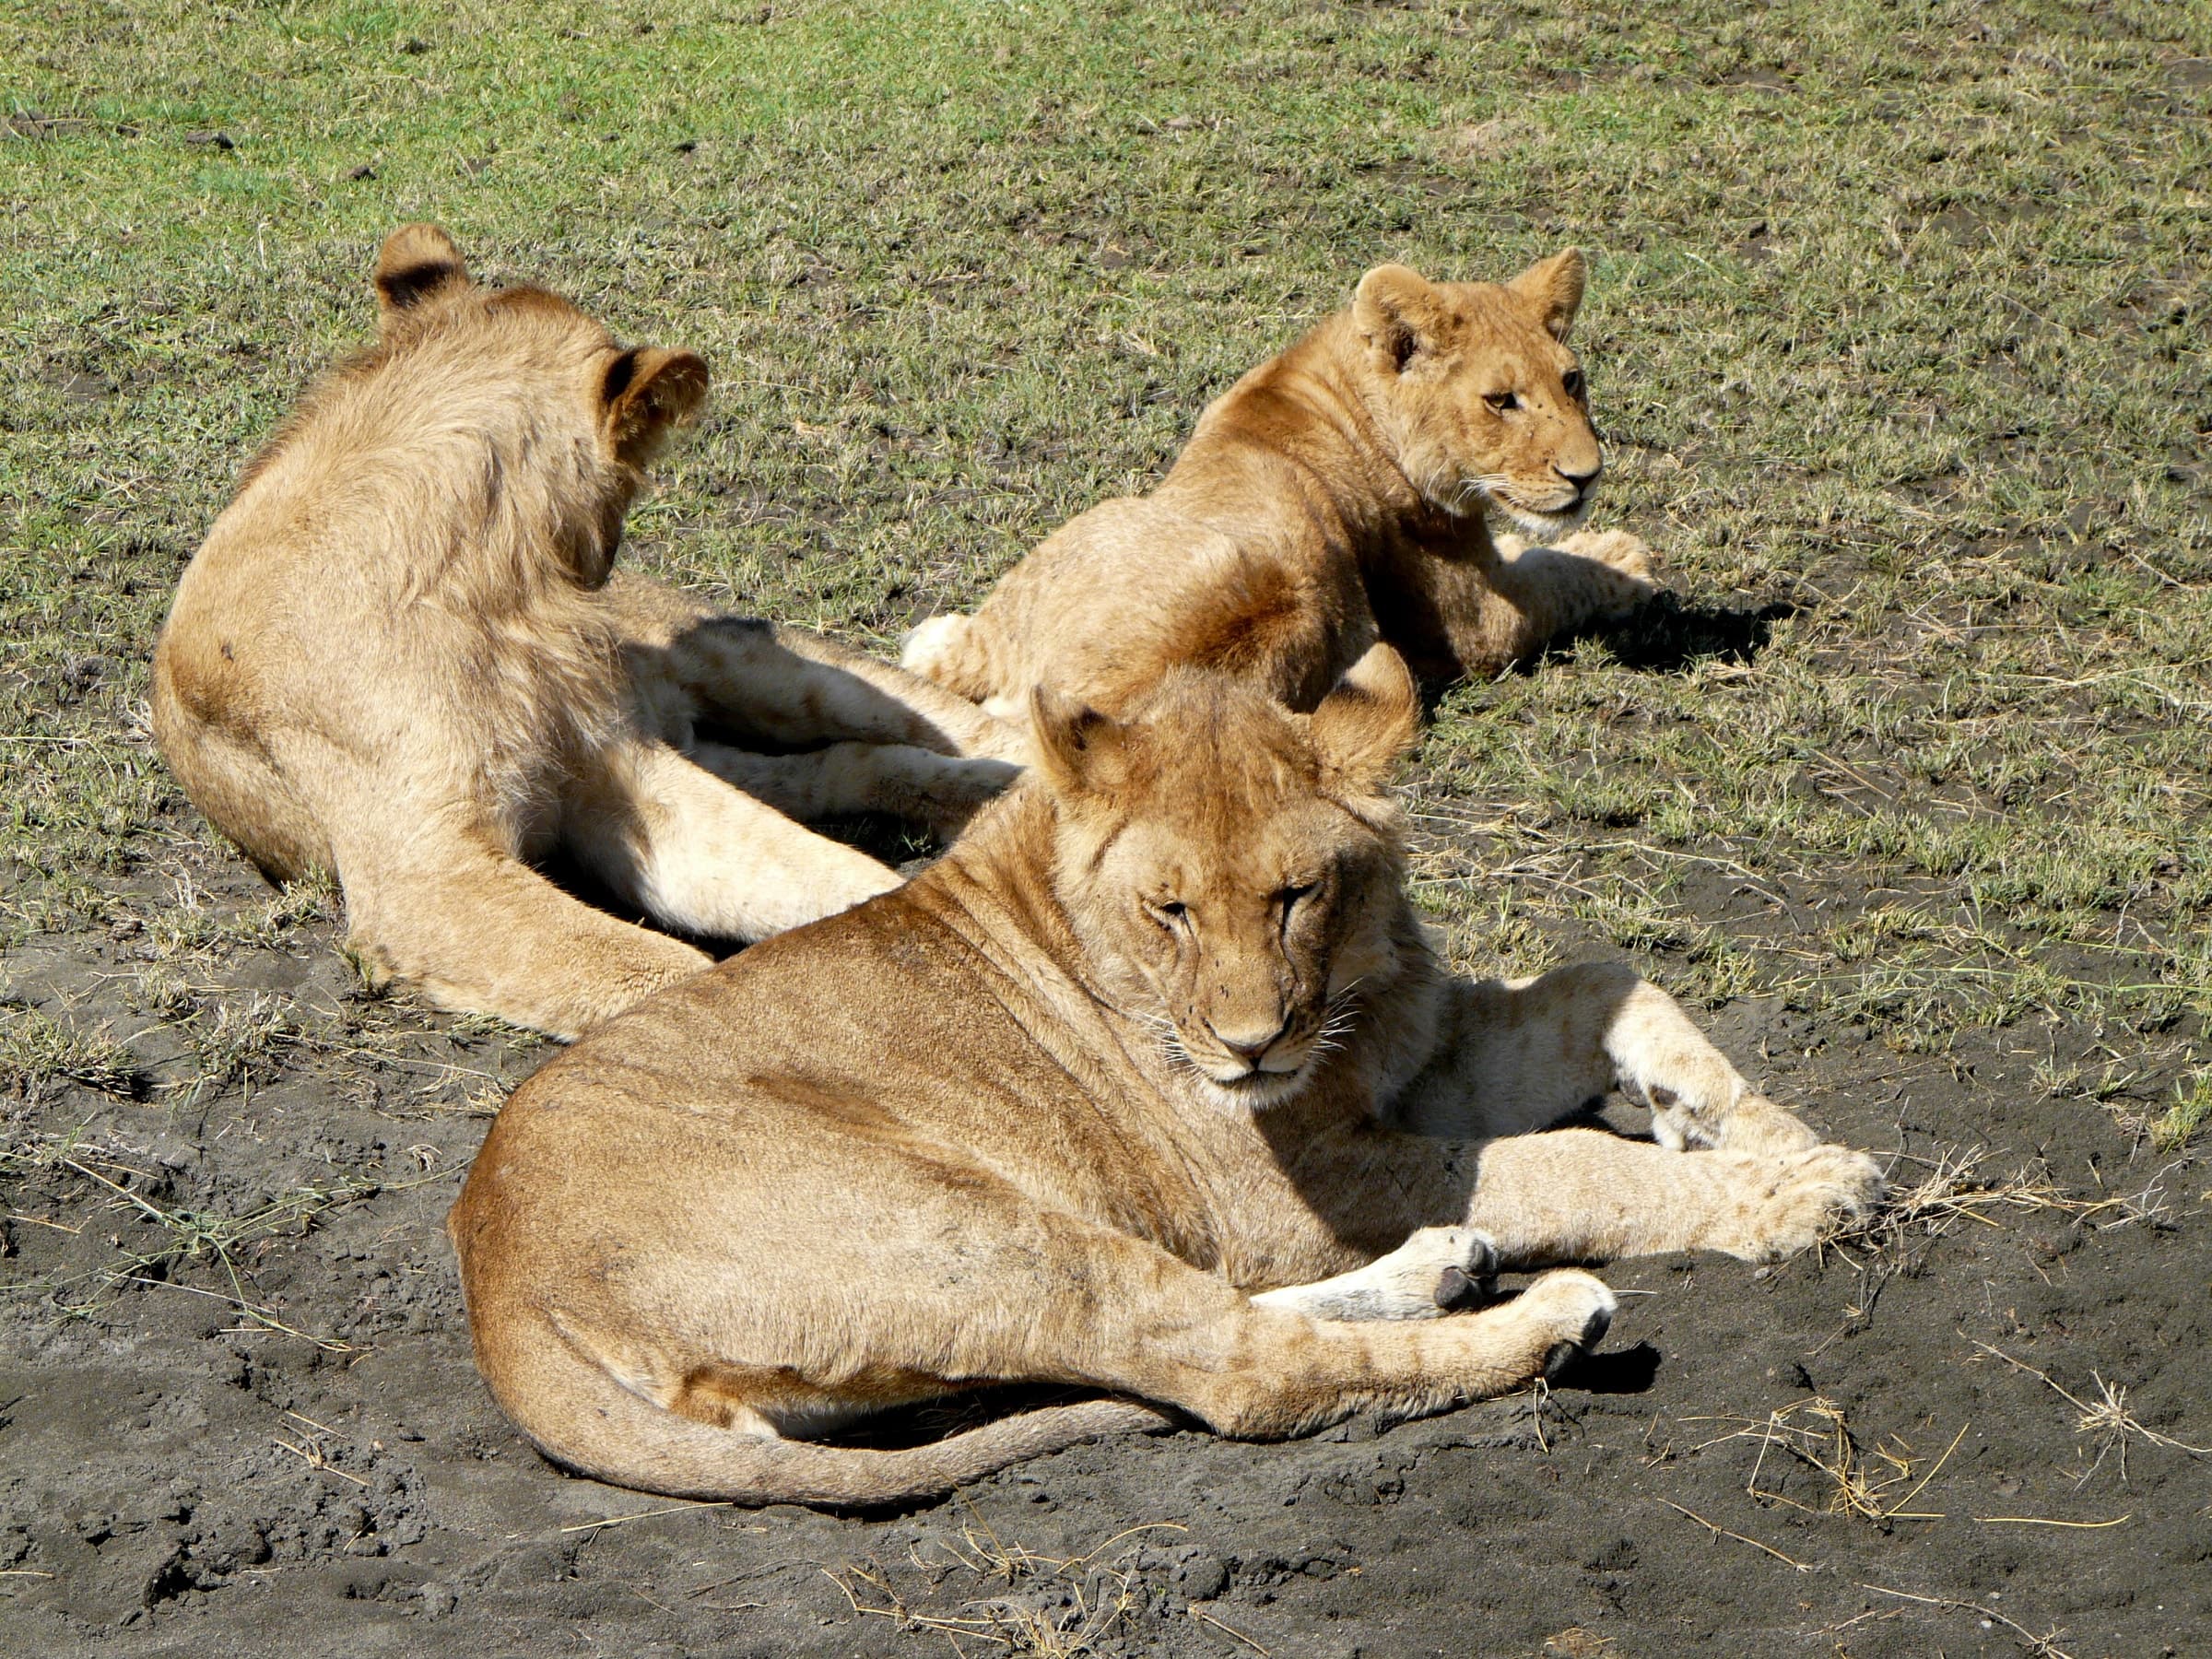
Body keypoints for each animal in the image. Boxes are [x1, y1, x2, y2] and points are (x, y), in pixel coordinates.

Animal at [151, 225, 1023, 1040]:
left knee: (940, 723)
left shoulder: (613, 767)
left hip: (753, 664)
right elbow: (677, 965)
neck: (496, 595)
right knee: (847, 765)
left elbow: (823, 873)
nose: (605, 561)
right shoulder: (427, 881)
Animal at [449, 644, 1881, 1506]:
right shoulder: (1293, 1189)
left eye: (1295, 894)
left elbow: (1610, 983)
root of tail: (494, 1278)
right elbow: (1572, 1161)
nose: (1249, 1046)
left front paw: (1755, 1127)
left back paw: (1443, 1267)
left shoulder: (1412, 1062)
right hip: (983, 1227)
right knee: (1239, 1373)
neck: (1350, 988)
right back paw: (1541, 1319)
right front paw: (1801, 1194)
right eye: (1173, 910)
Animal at [901, 250, 1662, 720]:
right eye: (1501, 401)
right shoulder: (1475, 625)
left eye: (1571, 381)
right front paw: (1623, 560)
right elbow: (1558, 576)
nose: (1587, 476)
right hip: (1105, 514)